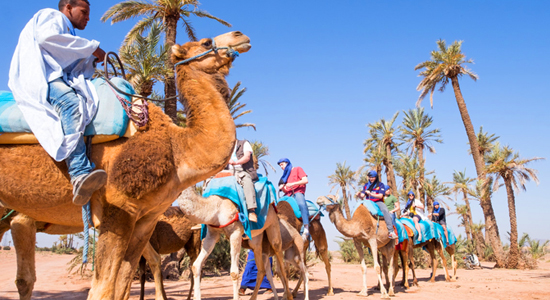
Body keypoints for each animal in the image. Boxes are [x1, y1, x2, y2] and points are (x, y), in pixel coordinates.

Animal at [0, 31, 250, 300]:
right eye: (205, 42)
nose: (239, 35)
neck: (177, 149)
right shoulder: (118, 210)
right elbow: (102, 289)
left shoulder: (144, 220)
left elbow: (121, 284)